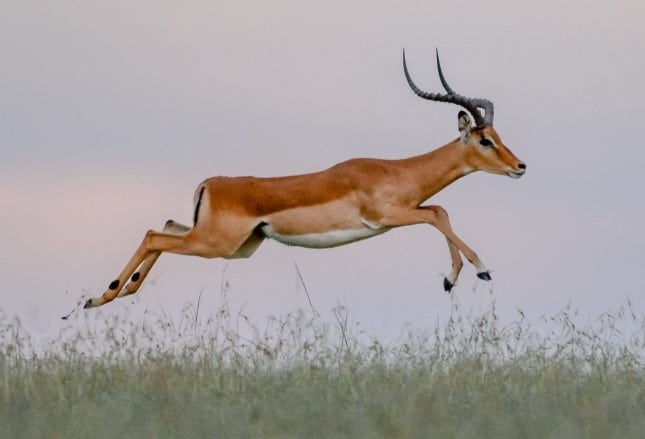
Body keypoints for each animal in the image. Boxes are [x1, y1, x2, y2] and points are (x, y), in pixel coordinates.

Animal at [84, 50, 524, 310]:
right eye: (484, 140)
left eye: (498, 136)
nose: (520, 166)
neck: (395, 171)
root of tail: (210, 184)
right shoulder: (387, 217)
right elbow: (436, 215)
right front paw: (481, 269)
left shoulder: (404, 211)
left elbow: (440, 210)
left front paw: (451, 280)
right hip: (214, 244)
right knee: (152, 235)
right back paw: (102, 295)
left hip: (232, 246)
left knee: (163, 227)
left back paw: (117, 292)